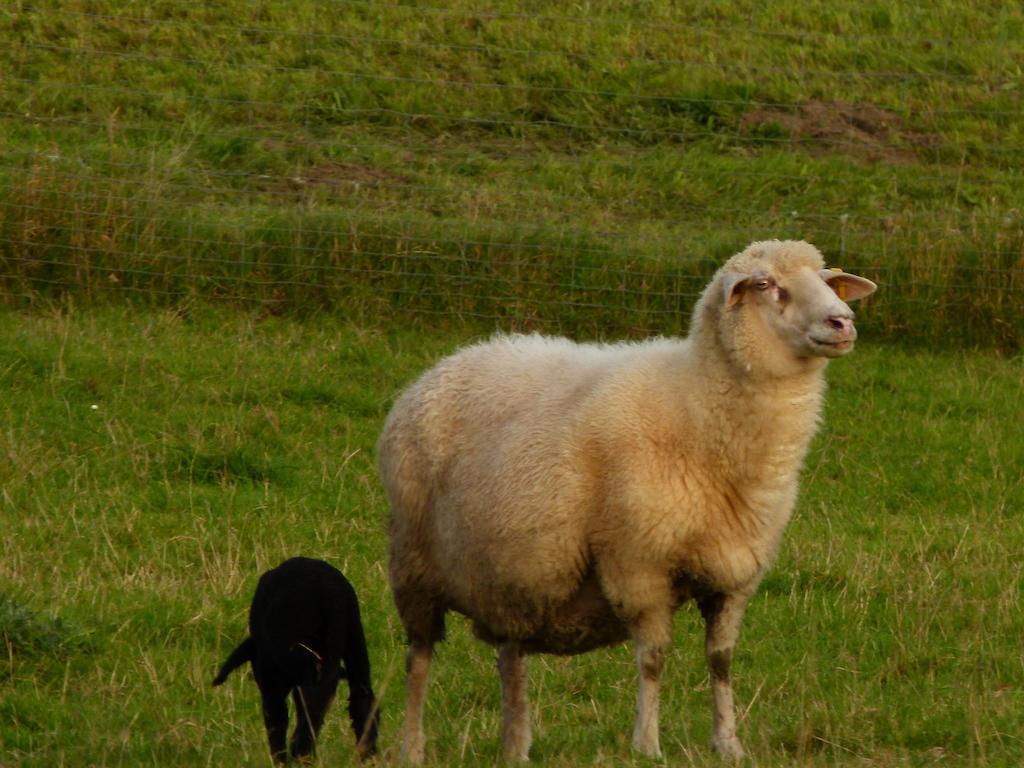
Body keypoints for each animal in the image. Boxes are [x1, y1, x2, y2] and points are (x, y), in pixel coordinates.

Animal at [214, 561, 378, 765]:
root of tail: (326, 592)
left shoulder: (270, 676)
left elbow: (276, 717)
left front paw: (281, 759)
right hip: (352, 636)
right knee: (361, 695)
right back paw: (367, 754)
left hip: (303, 659)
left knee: (309, 702)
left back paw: (301, 752)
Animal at [380, 240, 876, 765]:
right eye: (765, 284)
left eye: (826, 279)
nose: (842, 321)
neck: (697, 408)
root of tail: (445, 365)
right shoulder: (640, 564)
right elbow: (653, 660)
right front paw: (647, 744)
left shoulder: (735, 574)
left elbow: (721, 661)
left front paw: (729, 744)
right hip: (415, 565)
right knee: (418, 658)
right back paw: (412, 746)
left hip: (515, 575)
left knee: (511, 658)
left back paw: (516, 747)